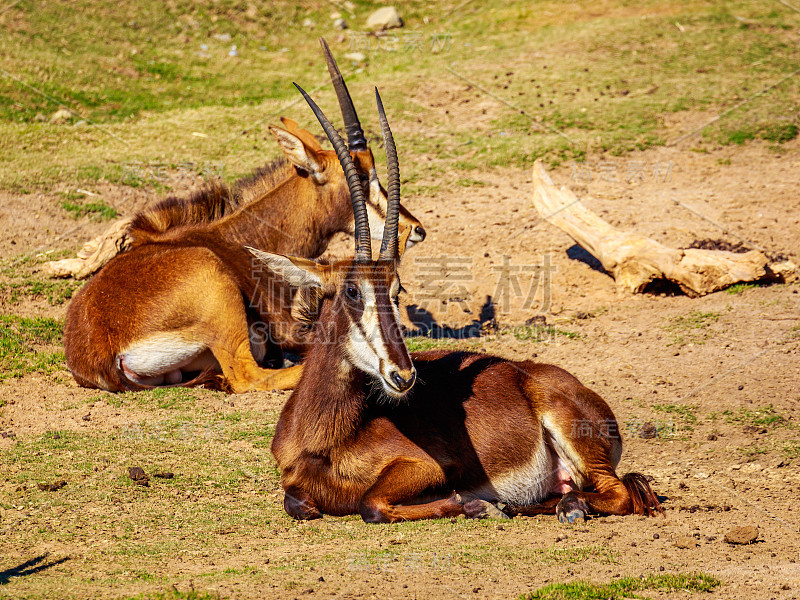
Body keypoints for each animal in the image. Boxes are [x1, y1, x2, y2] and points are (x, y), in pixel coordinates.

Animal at [64, 38, 424, 394]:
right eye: (361, 179)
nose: (415, 229)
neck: (246, 238)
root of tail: (101, 355)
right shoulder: (288, 327)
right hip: (217, 291)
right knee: (248, 376)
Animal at [253, 82, 664, 524]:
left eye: (397, 291)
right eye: (352, 290)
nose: (403, 376)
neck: (326, 439)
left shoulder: (426, 466)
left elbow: (370, 503)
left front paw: (474, 502)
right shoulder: (293, 483)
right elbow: (297, 503)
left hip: (578, 440)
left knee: (618, 493)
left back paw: (550, 507)